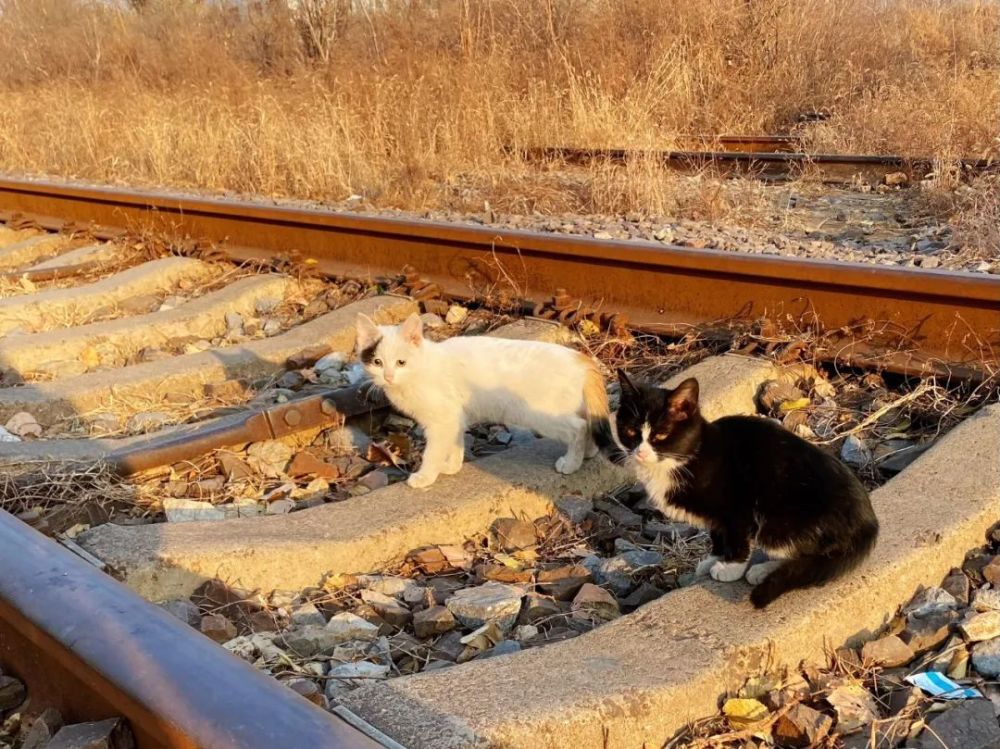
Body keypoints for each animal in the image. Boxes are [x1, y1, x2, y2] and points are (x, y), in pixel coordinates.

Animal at [360, 312, 608, 488]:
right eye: (377, 362)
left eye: (401, 362)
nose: (388, 377)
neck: (420, 369)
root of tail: (583, 360)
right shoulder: (454, 417)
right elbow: (455, 442)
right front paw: (451, 466)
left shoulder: (443, 420)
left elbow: (433, 451)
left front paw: (425, 476)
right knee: (589, 424)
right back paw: (589, 453)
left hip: (544, 414)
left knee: (579, 427)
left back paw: (571, 463)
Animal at [592, 368, 876, 608]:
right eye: (630, 431)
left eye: (660, 435)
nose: (639, 452)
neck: (687, 457)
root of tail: (869, 523)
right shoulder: (716, 516)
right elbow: (717, 533)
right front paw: (714, 558)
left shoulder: (737, 505)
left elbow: (737, 536)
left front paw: (731, 567)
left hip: (781, 522)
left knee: (803, 554)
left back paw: (762, 571)